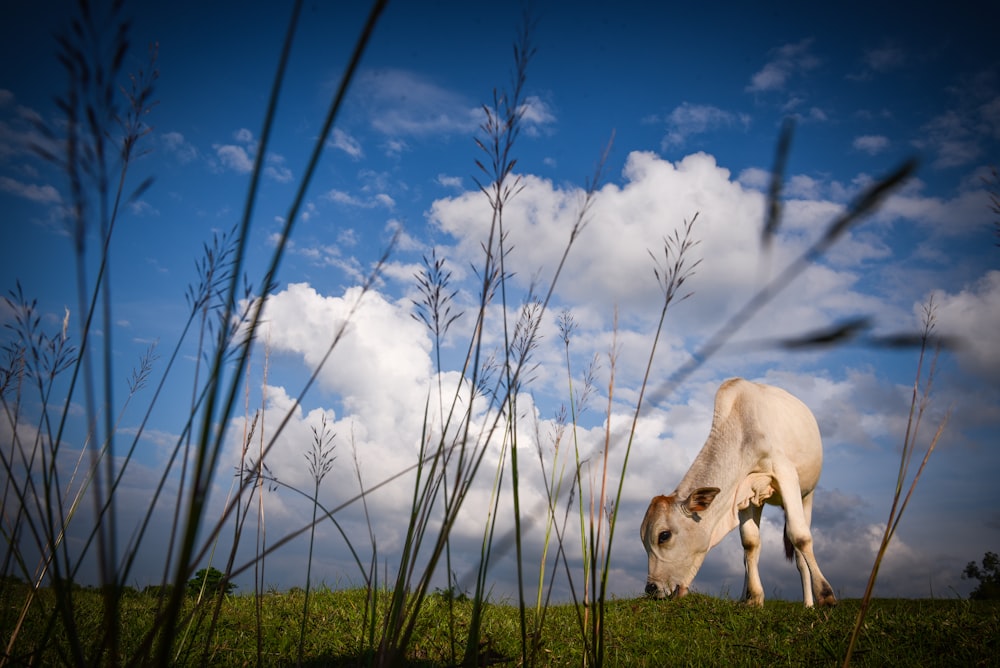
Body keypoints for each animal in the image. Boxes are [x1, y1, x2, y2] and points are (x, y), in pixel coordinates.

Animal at [640, 378, 836, 608]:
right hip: (760, 501)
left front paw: (825, 594)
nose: (651, 589)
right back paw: (746, 596)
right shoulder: (742, 493)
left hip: (807, 494)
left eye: (664, 535)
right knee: (752, 551)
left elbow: (800, 537)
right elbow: (749, 544)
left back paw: (808, 603)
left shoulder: (785, 473)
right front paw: (754, 598)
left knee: (799, 554)